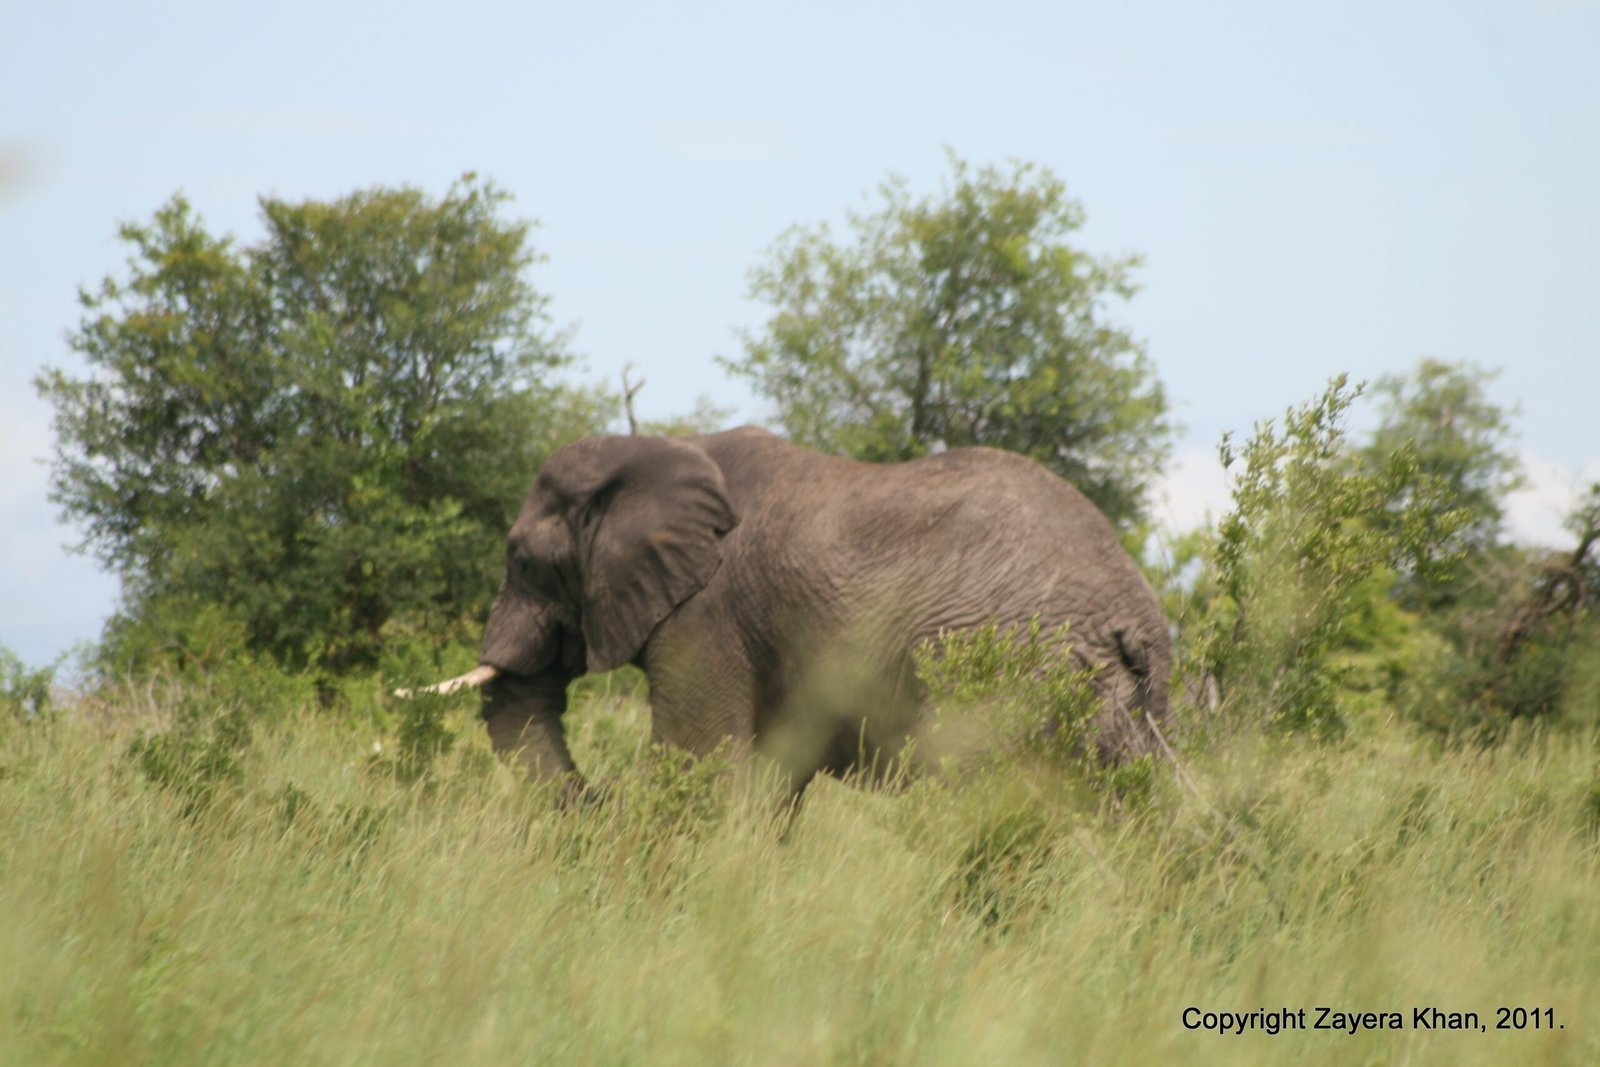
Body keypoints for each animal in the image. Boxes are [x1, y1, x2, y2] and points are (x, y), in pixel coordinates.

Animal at [413, 427, 1172, 801]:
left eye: (522, 561)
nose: (598, 796)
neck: (655, 451)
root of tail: (1132, 613)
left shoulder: (705, 614)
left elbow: (701, 762)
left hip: (1018, 672)